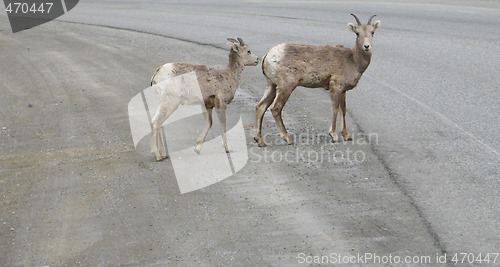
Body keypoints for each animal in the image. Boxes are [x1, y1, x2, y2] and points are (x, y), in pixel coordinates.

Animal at [256, 14, 380, 147]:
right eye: (357, 33)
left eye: (372, 32)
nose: (366, 46)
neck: (354, 61)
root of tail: (267, 57)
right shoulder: (335, 86)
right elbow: (335, 109)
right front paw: (334, 135)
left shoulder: (343, 90)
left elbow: (344, 109)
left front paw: (347, 136)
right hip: (286, 86)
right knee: (275, 108)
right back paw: (288, 138)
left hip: (271, 84)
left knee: (261, 106)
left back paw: (259, 140)